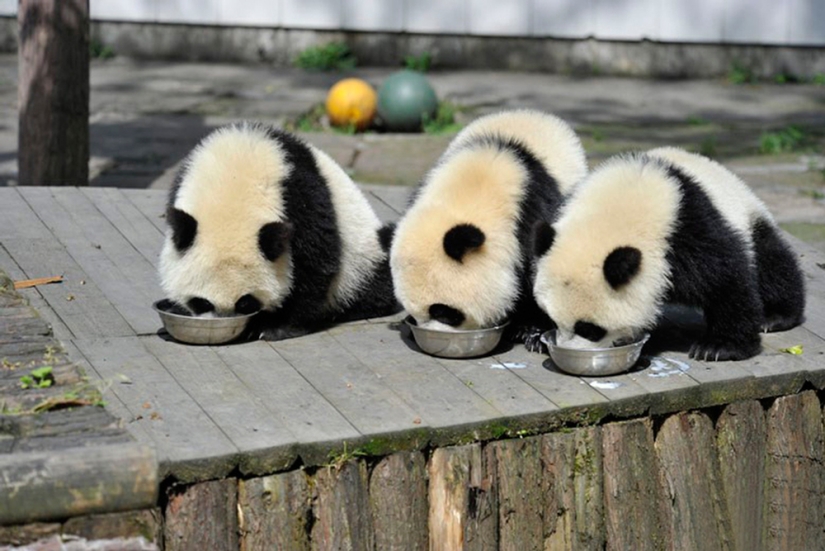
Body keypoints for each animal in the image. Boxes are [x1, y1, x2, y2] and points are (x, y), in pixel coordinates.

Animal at [159, 123, 400, 342]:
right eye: (202, 302)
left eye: (246, 302)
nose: (226, 324)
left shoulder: (298, 196)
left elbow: (315, 259)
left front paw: (278, 326)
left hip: (362, 256)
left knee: (373, 283)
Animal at [532, 147, 808, 362]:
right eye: (552, 318)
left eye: (590, 329)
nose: (568, 349)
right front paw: (535, 335)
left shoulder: (684, 232)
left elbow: (725, 278)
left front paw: (720, 347)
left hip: (747, 216)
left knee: (770, 262)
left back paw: (776, 316)